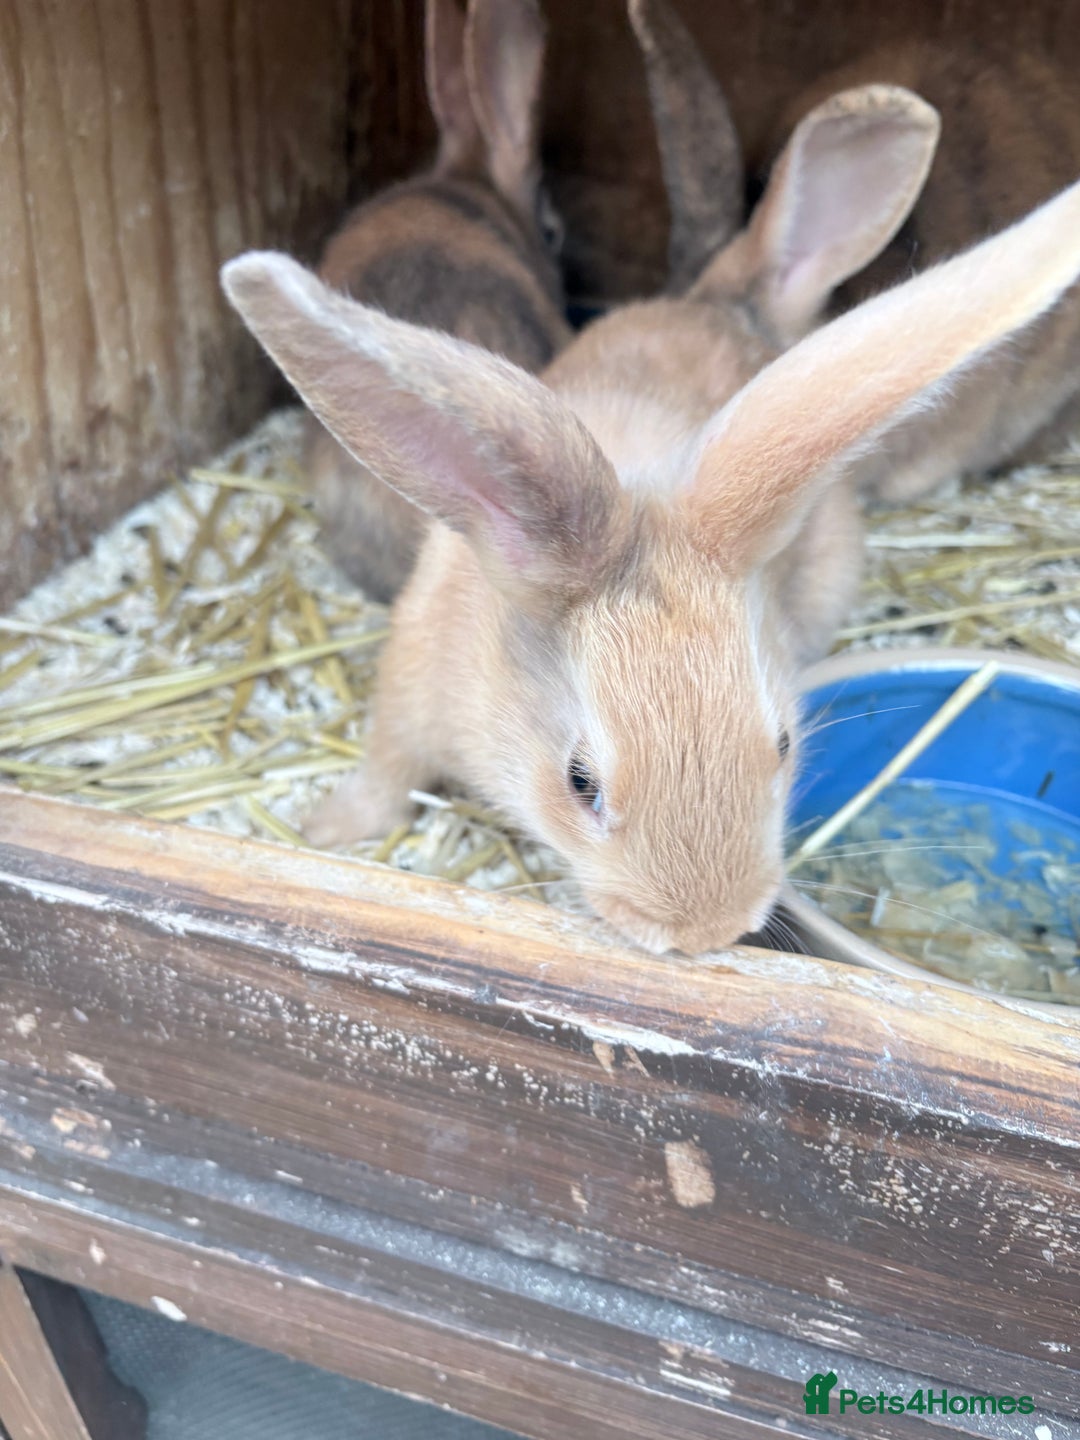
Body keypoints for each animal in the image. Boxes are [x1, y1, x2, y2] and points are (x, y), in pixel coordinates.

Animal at [221, 169, 1080, 955]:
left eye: (783, 745)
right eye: (581, 783)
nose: (705, 931)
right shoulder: (409, 691)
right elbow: (385, 772)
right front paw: (327, 831)